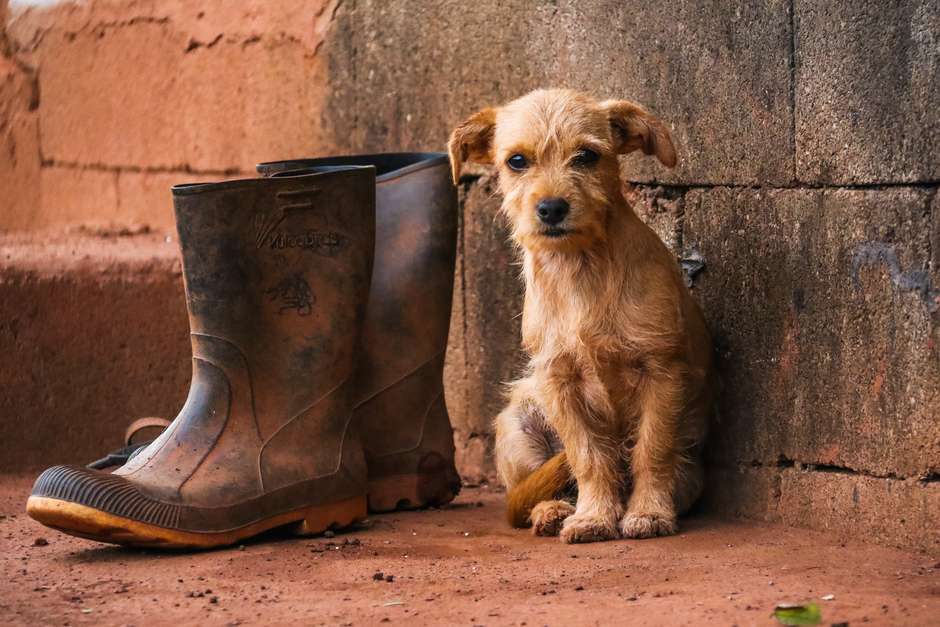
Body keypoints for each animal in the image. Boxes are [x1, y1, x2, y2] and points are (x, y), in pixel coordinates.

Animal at [448, 89, 712, 544]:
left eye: (587, 156)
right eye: (517, 161)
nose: (551, 208)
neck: (580, 268)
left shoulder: (661, 371)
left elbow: (651, 449)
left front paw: (649, 512)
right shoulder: (558, 380)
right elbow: (588, 455)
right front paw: (593, 516)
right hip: (517, 422)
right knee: (535, 487)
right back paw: (554, 510)